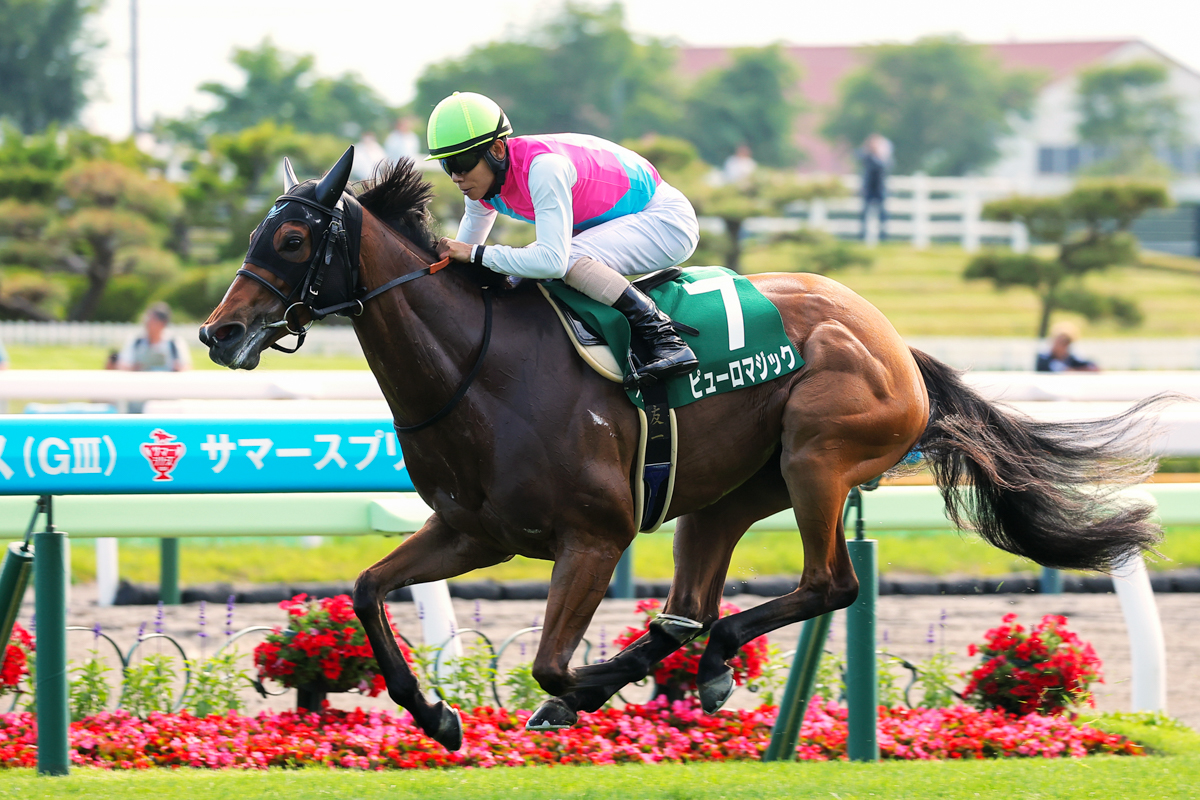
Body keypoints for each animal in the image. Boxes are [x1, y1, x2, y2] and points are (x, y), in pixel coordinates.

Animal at [200, 148, 1161, 751]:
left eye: (292, 239)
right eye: (254, 234)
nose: (219, 332)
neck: (479, 368)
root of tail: (894, 342)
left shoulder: (596, 535)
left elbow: (550, 663)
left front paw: (578, 690)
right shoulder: (476, 530)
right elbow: (367, 590)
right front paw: (437, 717)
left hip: (818, 456)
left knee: (827, 584)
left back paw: (690, 666)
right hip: (728, 494)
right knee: (692, 604)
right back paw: (702, 663)